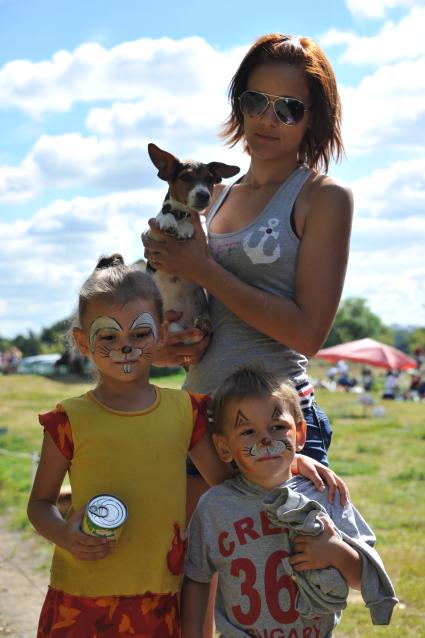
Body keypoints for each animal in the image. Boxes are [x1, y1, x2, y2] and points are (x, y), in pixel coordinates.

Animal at [146, 143, 238, 342]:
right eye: (185, 177)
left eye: (210, 179)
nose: (204, 195)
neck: (182, 214)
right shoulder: (152, 238)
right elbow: (163, 215)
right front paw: (168, 222)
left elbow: (197, 223)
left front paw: (186, 229)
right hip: (171, 325)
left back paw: (203, 323)